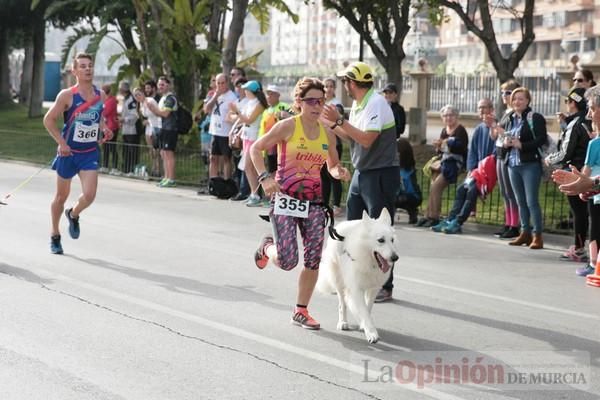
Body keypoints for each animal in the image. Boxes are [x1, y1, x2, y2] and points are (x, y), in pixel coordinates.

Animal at [318, 208, 398, 342]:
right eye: (381, 240)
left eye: (392, 240)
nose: (395, 258)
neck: (369, 262)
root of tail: (340, 225)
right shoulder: (356, 290)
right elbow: (363, 311)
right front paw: (371, 333)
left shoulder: (373, 289)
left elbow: (368, 308)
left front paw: (364, 325)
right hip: (339, 282)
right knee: (342, 304)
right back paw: (343, 322)